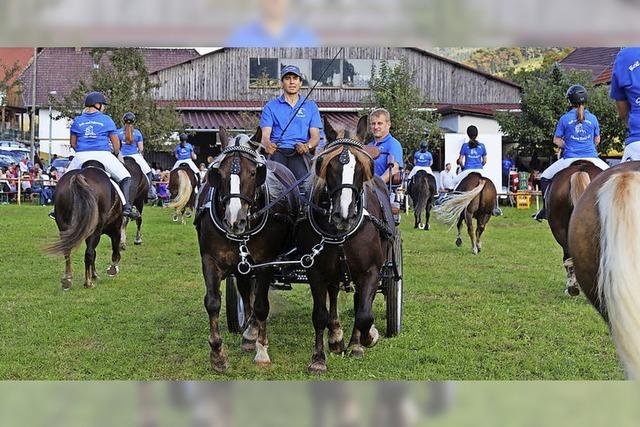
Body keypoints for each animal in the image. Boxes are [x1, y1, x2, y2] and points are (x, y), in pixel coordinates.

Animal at [194, 129, 298, 372]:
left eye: (253, 173)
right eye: (218, 173)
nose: (235, 220)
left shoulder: (266, 263)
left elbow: (261, 305)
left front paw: (262, 349)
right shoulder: (210, 260)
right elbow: (213, 302)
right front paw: (218, 354)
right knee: (244, 289)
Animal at [296, 117, 396, 374]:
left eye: (363, 166)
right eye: (327, 165)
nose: (344, 215)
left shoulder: (371, 271)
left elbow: (364, 314)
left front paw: (365, 340)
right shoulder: (315, 271)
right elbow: (319, 315)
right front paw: (318, 358)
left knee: (361, 302)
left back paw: (355, 342)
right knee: (334, 295)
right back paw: (336, 337)